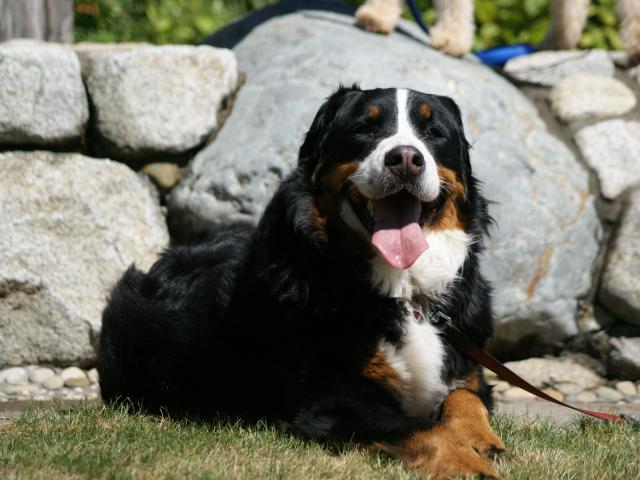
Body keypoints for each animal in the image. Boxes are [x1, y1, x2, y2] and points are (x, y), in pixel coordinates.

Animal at [98, 85, 505, 479]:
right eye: (365, 128)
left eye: (433, 132)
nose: (405, 158)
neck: (404, 289)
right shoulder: (331, 398)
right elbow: (422, 428)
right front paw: (471, 465)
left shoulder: (467, 364)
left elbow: (465, 397)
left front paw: (481, 438)